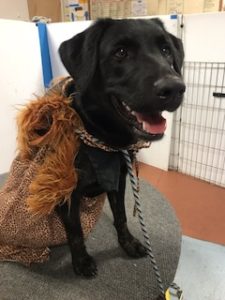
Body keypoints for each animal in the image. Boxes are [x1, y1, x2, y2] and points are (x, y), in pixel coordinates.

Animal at [57, 18, 185, 276]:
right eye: (121, 52)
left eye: (165, 50)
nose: (176, 88)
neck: (104, 139)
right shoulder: (68, 192)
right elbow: (75, 230)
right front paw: (81, 261)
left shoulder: (118, 180)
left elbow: (121, 216)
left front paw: (128, 243)